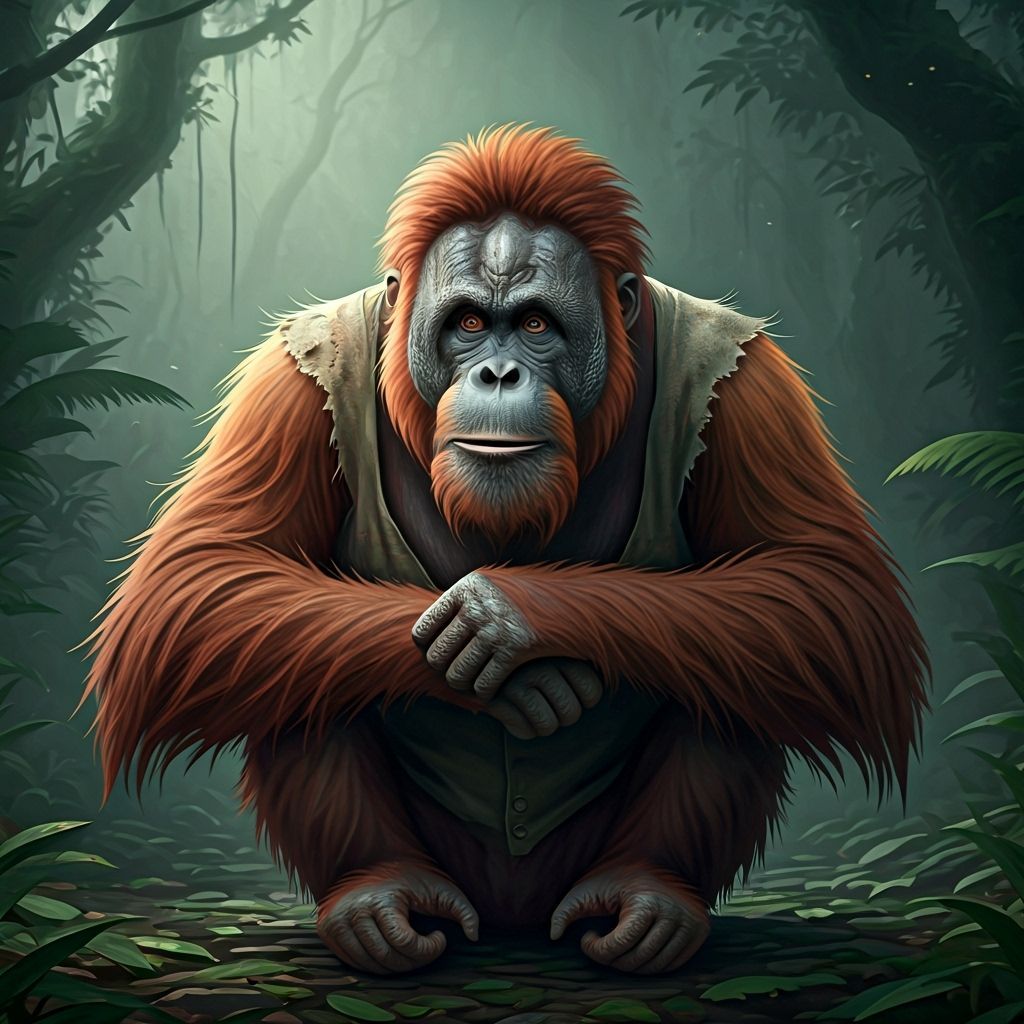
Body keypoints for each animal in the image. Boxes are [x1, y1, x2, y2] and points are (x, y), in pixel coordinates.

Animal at [85, 124, 927, 975]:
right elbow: (201, 585)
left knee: (747, 647)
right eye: (465, 324)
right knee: (282, 646)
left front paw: (513, 619)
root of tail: (512, 919)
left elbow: (825, 588)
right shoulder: (288, 377)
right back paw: (377, 896)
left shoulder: (751, 381)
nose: (496, 372)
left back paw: (650, 897)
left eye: (534, 325)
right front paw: (523, 677)